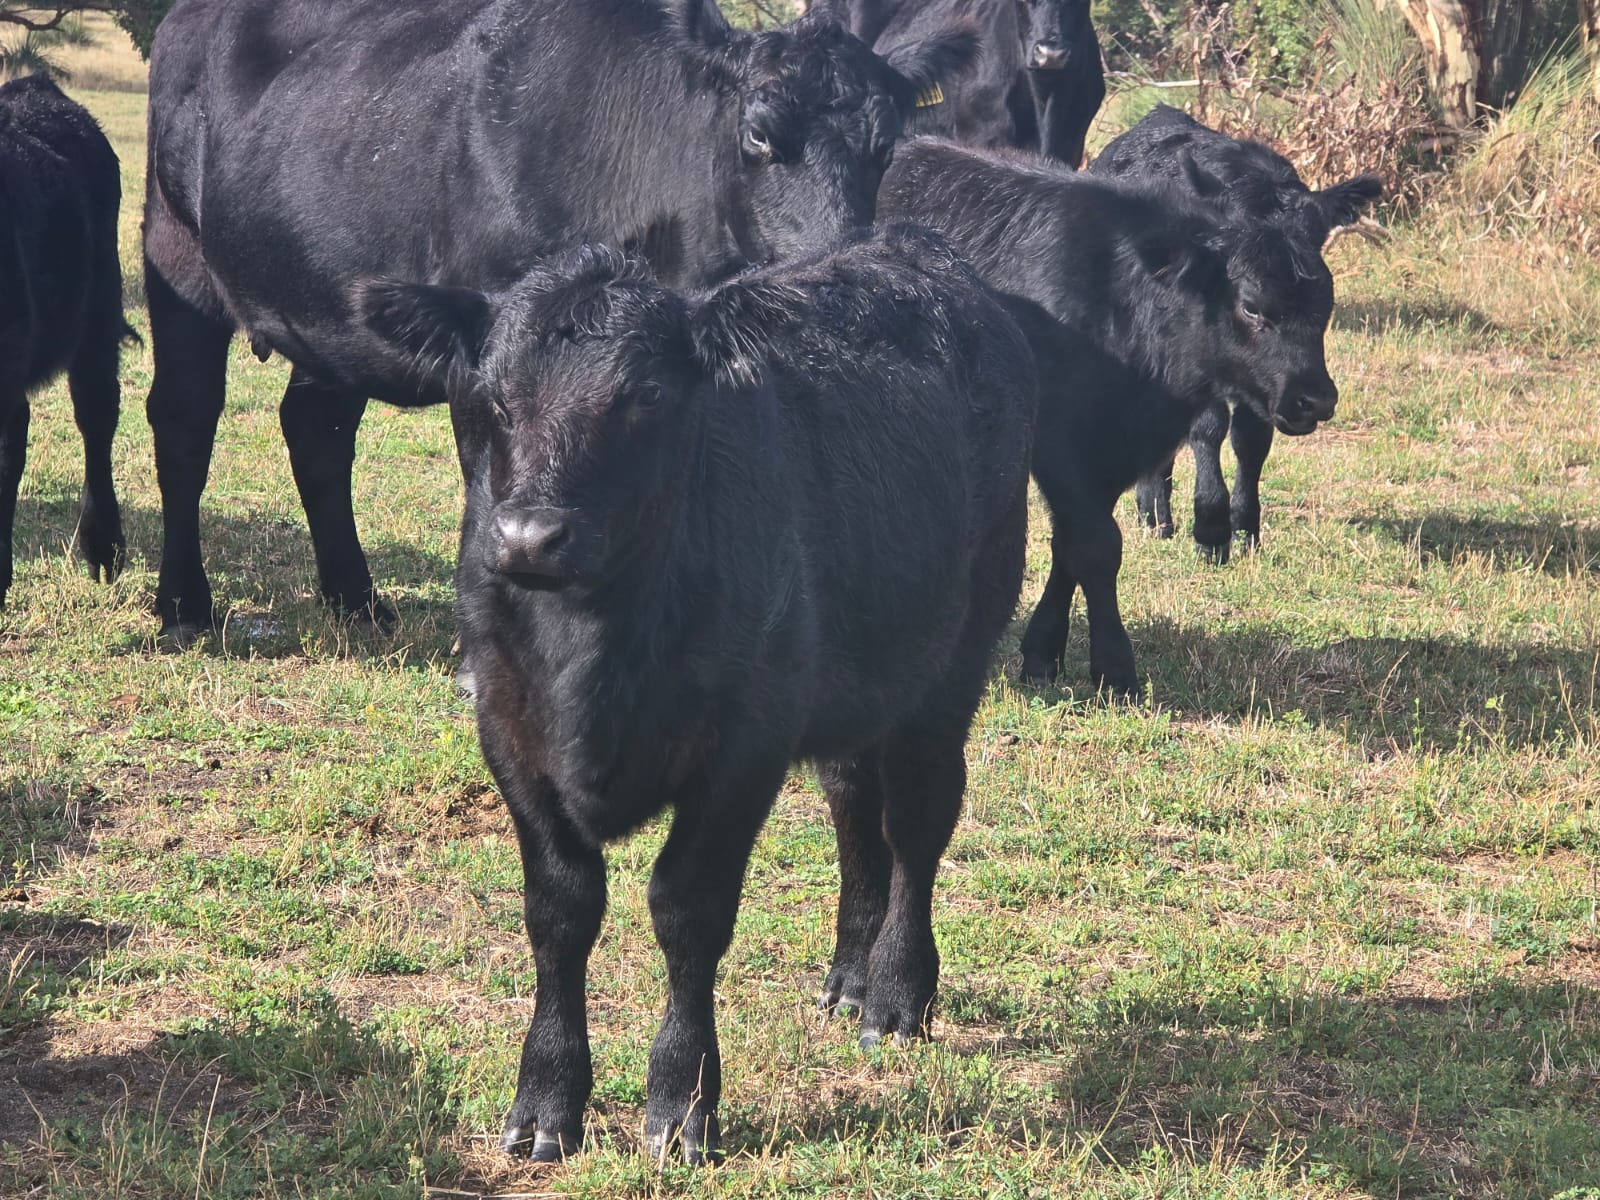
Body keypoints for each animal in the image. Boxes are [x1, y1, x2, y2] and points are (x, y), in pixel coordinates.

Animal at [142, 0, 975, 643]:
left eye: (886, 143)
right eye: (760, 134)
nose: (839, 266)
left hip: (328, 304)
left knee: (316, 428)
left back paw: (358, 602)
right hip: (176, 253)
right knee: (184, 417)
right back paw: (184, 607)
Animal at [360, 224, 1035, 1163]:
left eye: (643, 396)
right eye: (488, 396)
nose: (528, 537)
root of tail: (914, 251)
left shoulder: (742, 746)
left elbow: (687, 911)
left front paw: (682, 1104)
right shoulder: (507, 729)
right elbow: (559, 911)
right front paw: (546, 1101)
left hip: (952, 662)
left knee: (919, 819)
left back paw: (898, 994)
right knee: (853, 805)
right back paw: (851, 979)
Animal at [880, 138, 1339, 695]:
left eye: (1324, 306)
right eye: (1252, 306)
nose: (1315, 398)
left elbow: (1070, 546)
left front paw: (1043, 652)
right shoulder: (1060, 446)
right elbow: (1097, 545)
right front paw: (1116, 669)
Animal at [1090, 105, 1382, 561]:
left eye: (1327, 302)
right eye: (1251, 305)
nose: (1314, 402)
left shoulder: (1265, 383)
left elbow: (1251, 439)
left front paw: (1246, 529)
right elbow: (1208, 428)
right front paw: (1210, 529)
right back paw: (1155, 515)